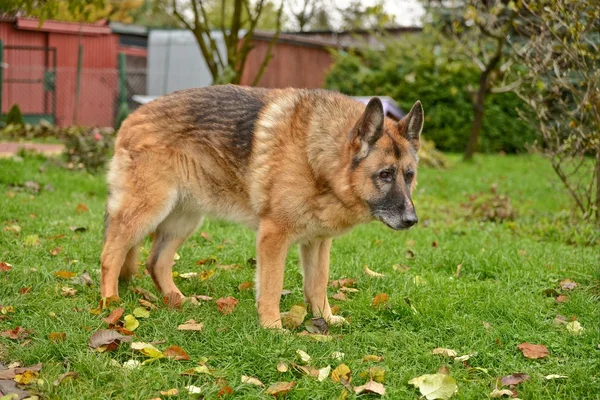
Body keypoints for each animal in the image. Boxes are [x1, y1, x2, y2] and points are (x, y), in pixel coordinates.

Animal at [101, 85, 424, 328]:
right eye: (384, 175)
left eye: (409, 176)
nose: (412, 220)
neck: (318, 156)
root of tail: (132, 116)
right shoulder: (273, 237)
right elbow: (271, 286)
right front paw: (272, 327)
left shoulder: (318, 242)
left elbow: (317, 284)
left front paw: (325, 319)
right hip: (147, 212)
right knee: (110, 253)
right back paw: (110, 303)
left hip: (184, 220)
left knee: (156, 262)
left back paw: (178, 301)